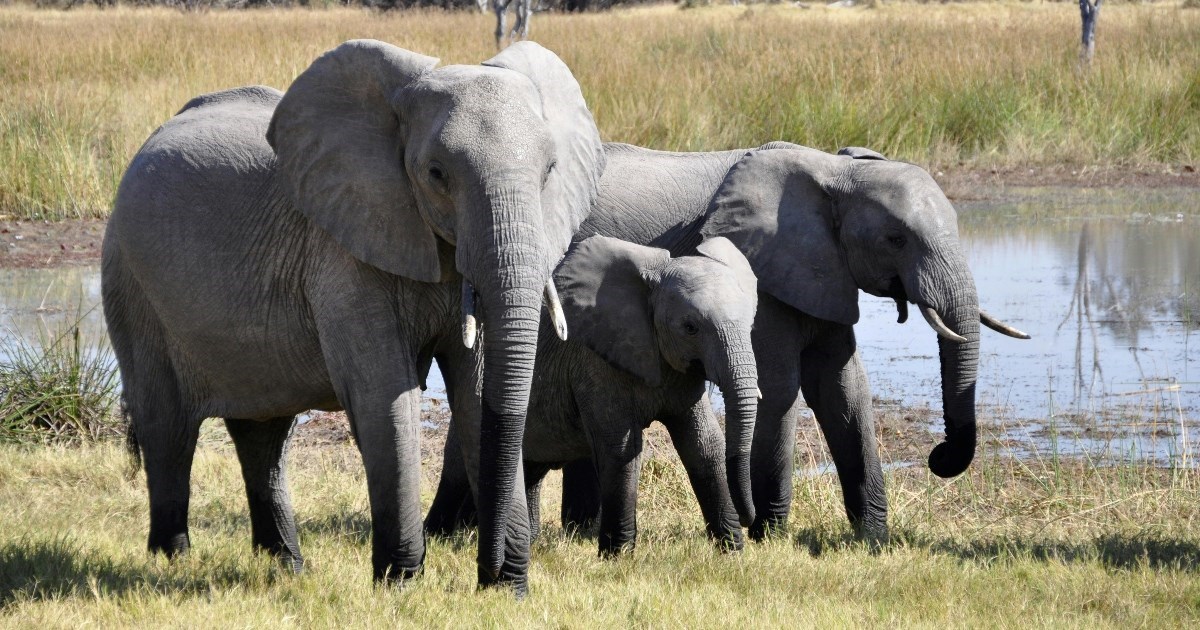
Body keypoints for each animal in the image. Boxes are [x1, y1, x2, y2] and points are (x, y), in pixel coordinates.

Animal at [102, 39, 604, 595]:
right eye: (436, 174)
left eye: (550, 170)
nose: (492, 572)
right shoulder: (342, 252)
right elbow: (384, 395)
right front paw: (400, 584)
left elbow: (476, 394)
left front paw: (505, 591)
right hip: (130, 279)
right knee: (167, 425)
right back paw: (171, 561)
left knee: (263, 433)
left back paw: (287, 566)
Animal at [427, 232, 753, 552]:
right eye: (690, 328)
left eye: (751, 323)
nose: (749, 520)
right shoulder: (593, 362)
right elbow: (621, 449)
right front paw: (618, 555)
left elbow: (704, 445)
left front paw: (731, 549)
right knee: (459, 466)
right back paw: (438, 537)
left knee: (530, 469)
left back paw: (523, 541)